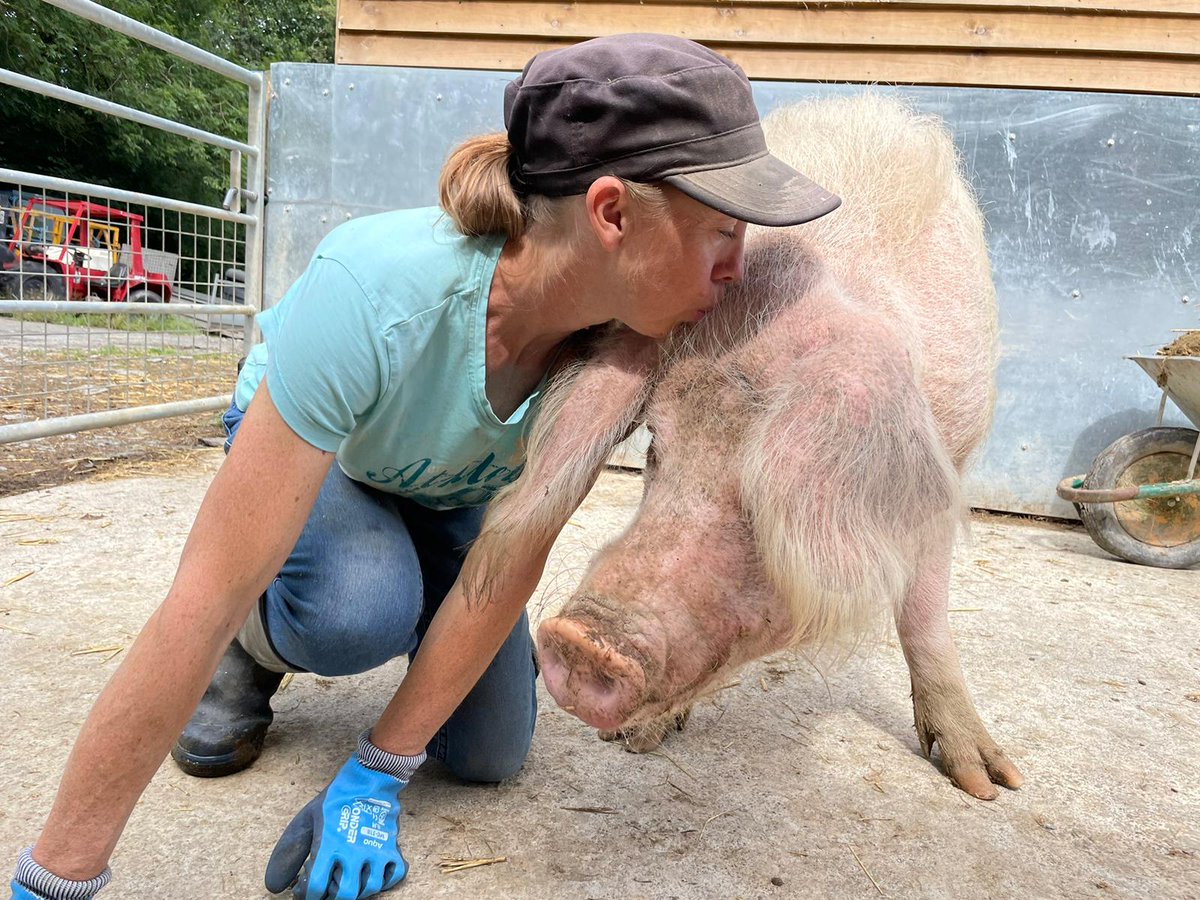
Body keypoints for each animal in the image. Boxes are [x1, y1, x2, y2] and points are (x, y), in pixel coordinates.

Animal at [465, 94, 1023, 800]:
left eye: (761, 490)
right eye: (656, 445)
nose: (581, 639)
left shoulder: (948, 468)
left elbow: (924, 616)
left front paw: (990, 785)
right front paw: (637, 743)